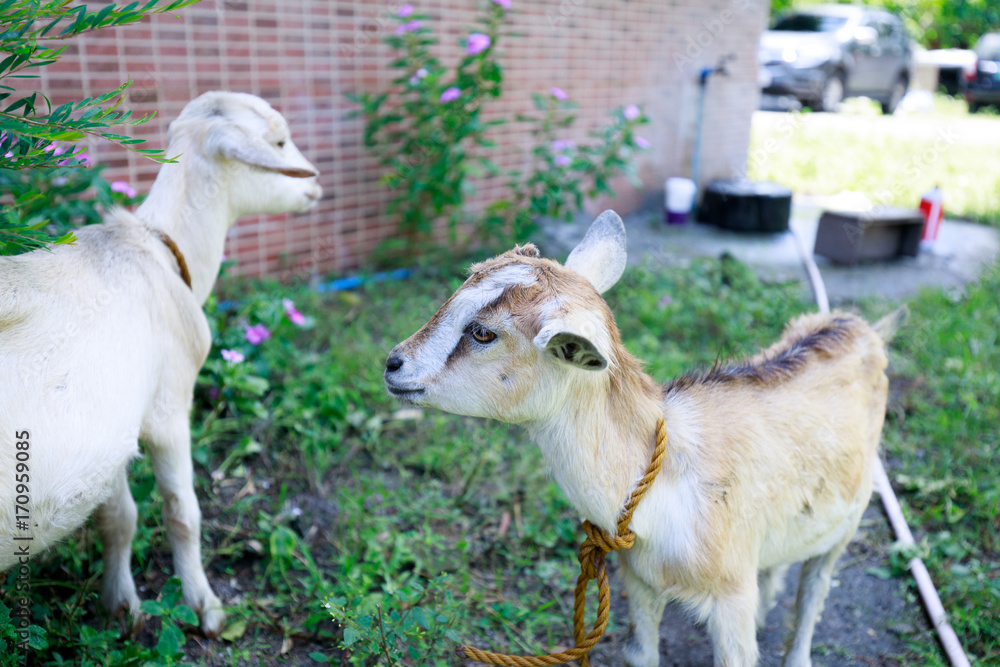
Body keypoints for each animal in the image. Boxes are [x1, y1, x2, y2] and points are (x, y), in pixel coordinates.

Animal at [0, 91, 322, 635]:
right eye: (279, 142)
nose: (316, 185)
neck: (156, 248)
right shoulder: (167, 407)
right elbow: (181, 512)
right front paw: (204, 606)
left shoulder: (113, 427)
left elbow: (119, 518)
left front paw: (120, 605)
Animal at [384, 211, 901, 666]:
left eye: (483, 332)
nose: (393, 363)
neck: (664, 482)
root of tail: (861, 327)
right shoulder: (641, 580)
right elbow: (641, 654)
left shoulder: (731, 593)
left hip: (849, 520)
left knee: (814, 594)